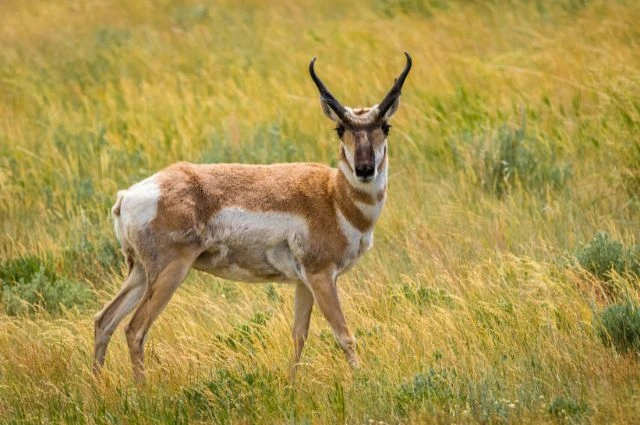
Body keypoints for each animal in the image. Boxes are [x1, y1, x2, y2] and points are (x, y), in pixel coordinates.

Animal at [94, 51, 416, 380]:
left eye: (386, 126)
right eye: (340, 129)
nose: (365, 169)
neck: (334, 196)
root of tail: (127, 196)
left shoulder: (304, 282)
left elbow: (299, 334)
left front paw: (291, 384)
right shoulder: (322, 276)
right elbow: (344, 334)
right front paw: (362, 379)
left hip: (139, 273)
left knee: (104, 320)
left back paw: (99, 384)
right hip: (169, 273)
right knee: (134, 329)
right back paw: (141, 388)